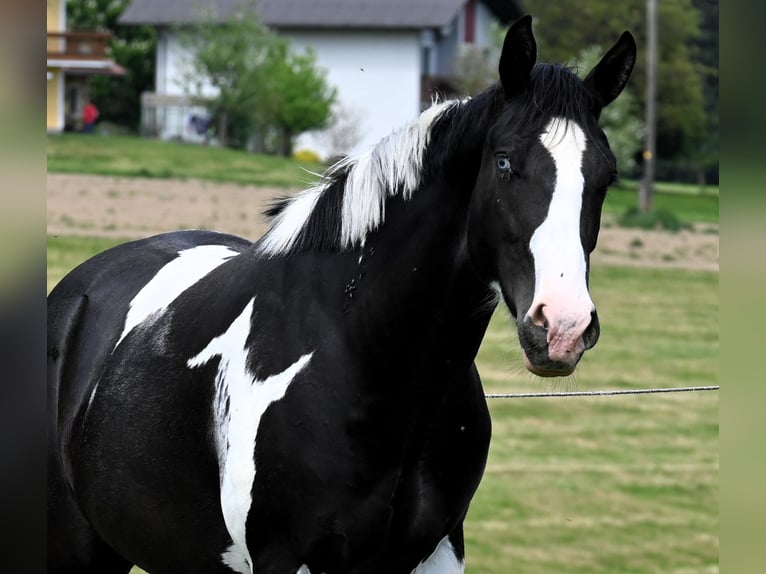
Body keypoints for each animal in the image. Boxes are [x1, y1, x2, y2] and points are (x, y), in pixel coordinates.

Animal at [47, 16, 636, 574]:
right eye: (506, 162)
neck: (362, 357)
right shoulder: (289, 557)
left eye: (606, 176)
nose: (562, 327)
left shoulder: (440, 550)